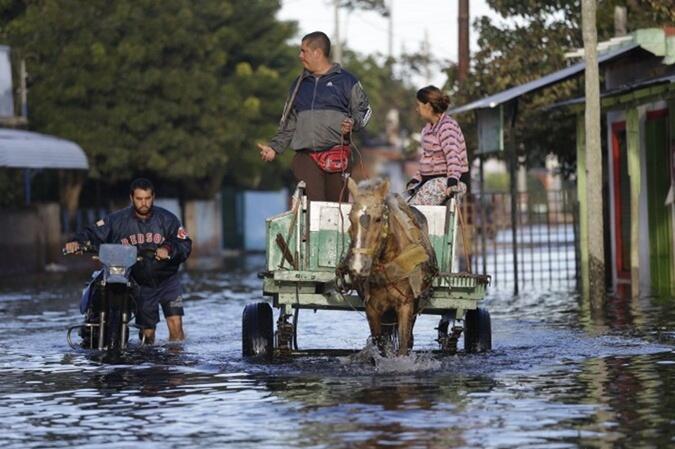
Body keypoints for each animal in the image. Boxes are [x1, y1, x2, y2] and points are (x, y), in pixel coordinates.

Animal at [338, 177, 438, 356]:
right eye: (350, 219)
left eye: (378, 219)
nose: (358, 266)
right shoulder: (371, 308)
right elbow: (380, 344)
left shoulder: (406, 305)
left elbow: (404, 345)